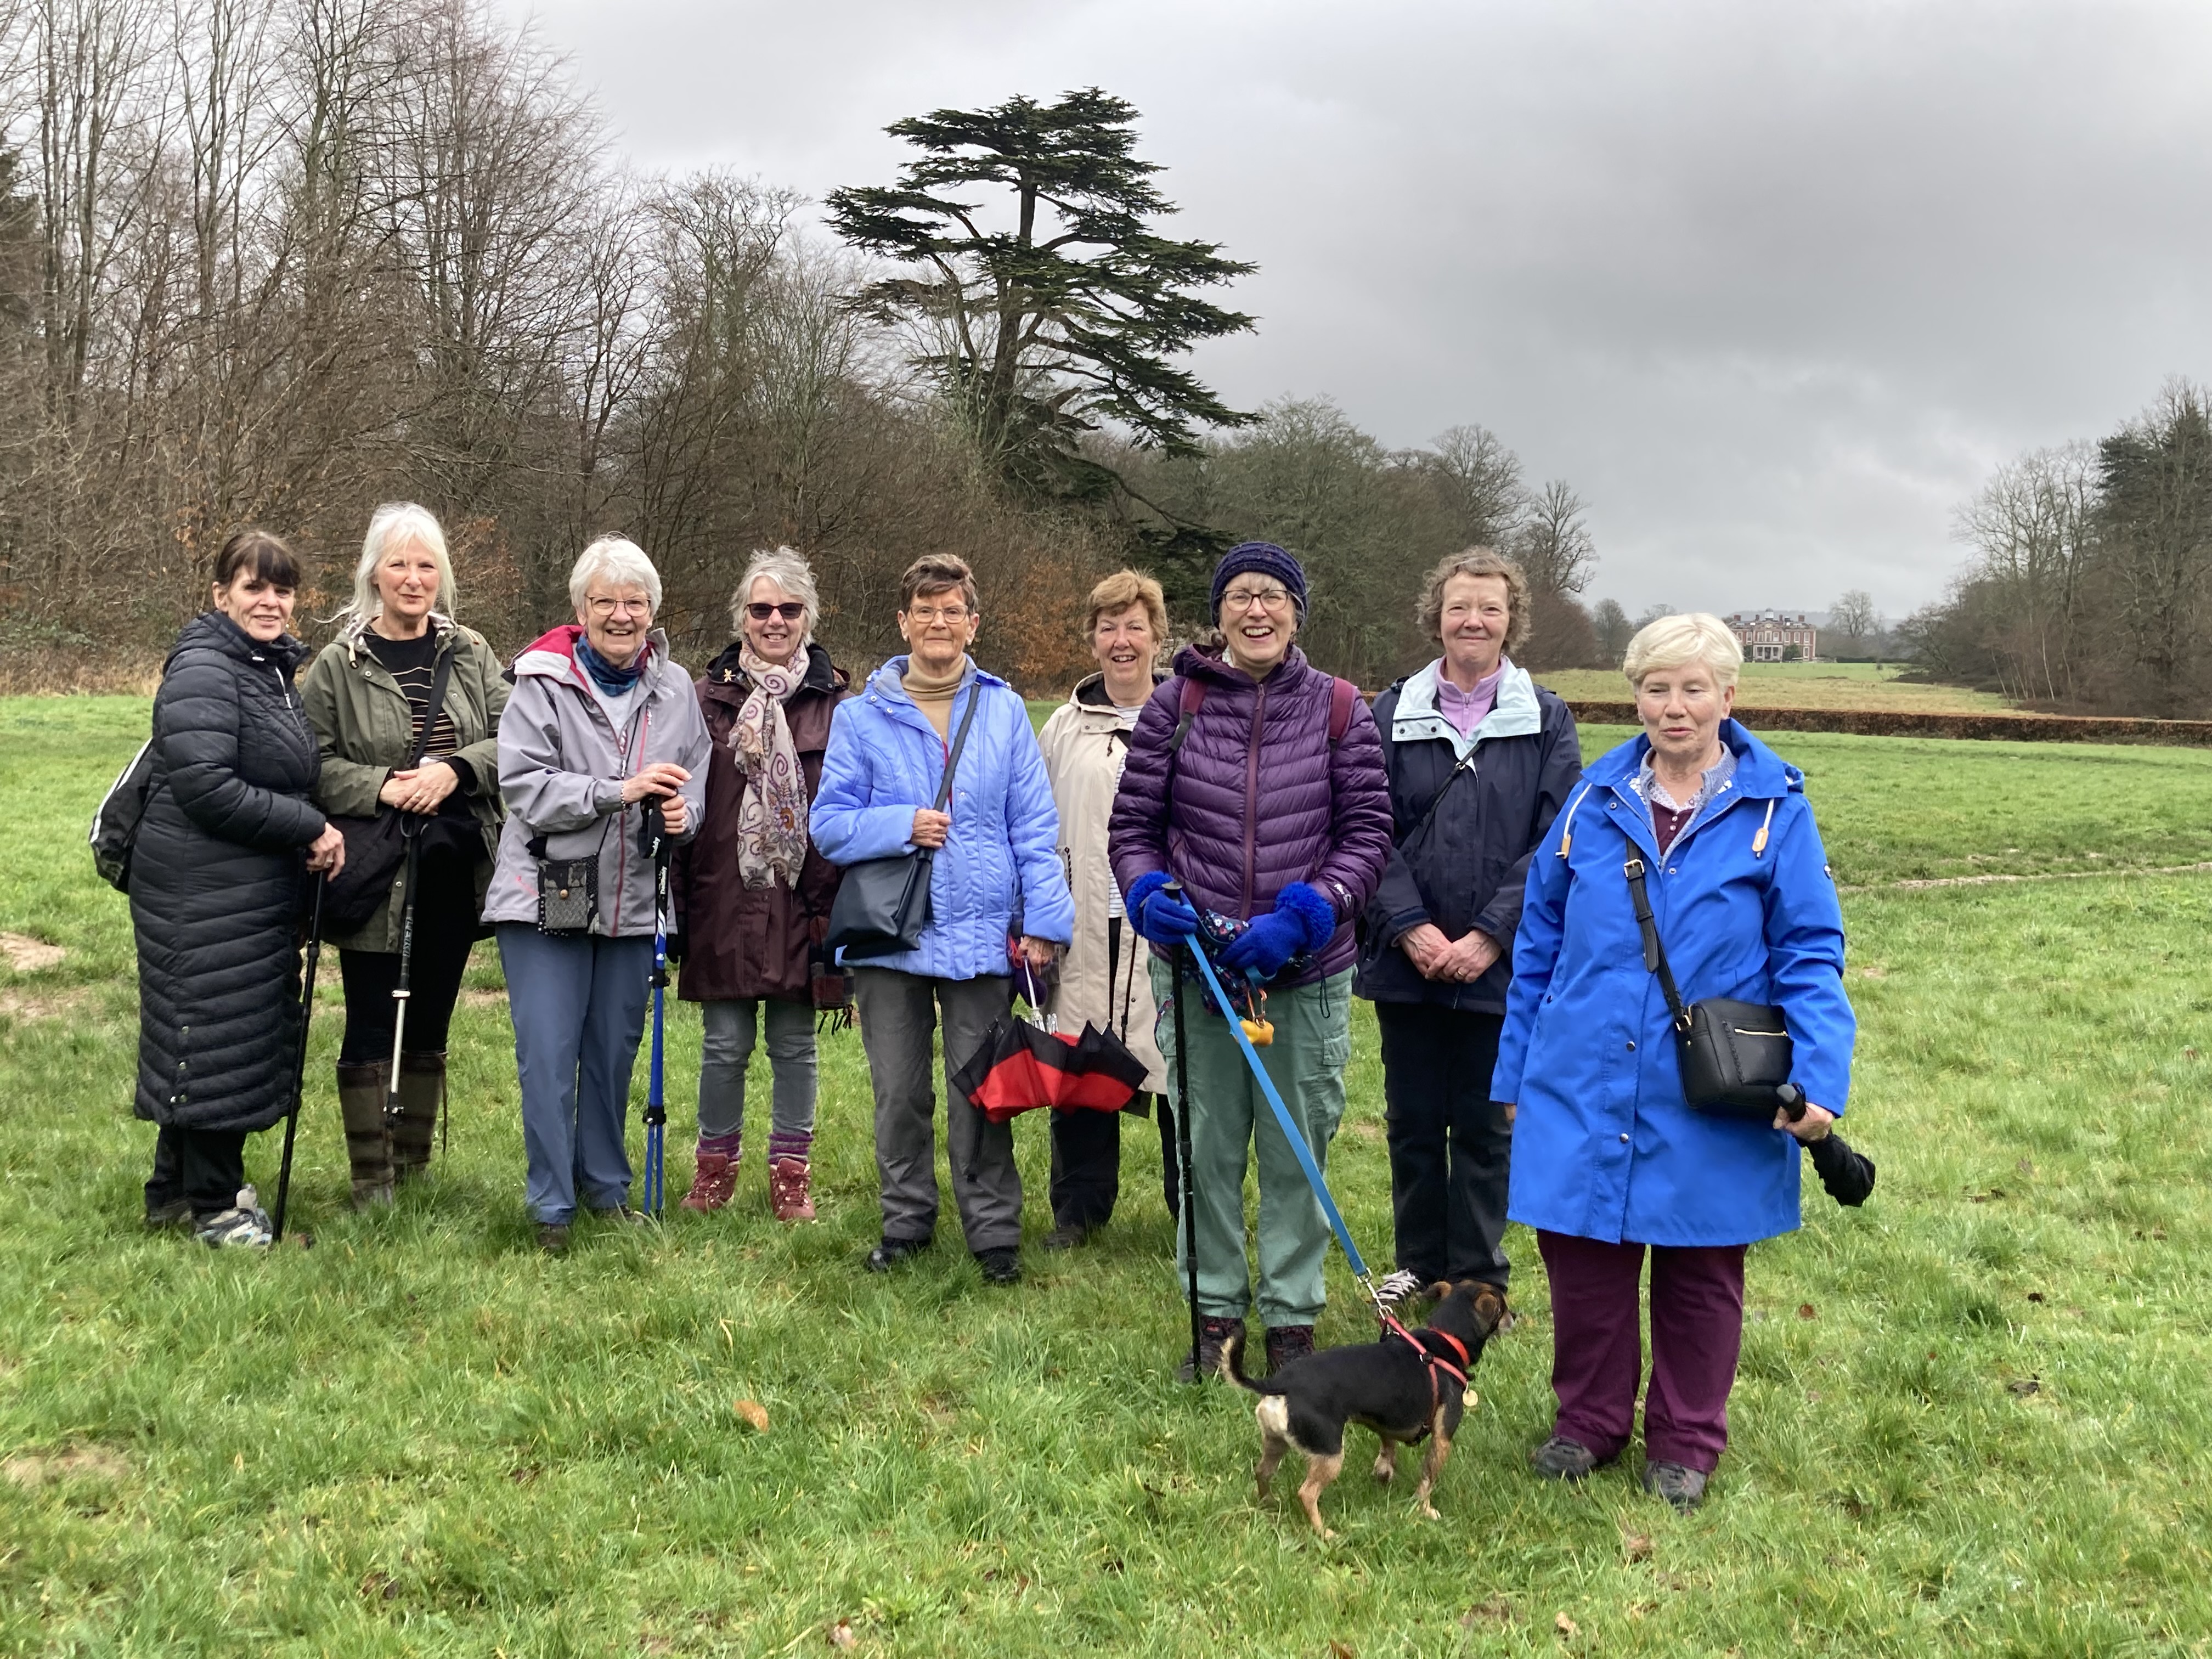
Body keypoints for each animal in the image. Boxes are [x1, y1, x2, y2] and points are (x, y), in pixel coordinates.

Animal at [1221, 1283, 1513, 1548]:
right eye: (1503, 1307)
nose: (1516, 1316)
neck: (1445, 1339)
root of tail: (1281, 1383)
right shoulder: (1442, 1438)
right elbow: (1427, 1479)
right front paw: (1426, 1511)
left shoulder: (1387, 1421)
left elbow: (1388, 1448)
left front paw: (1384, 1473)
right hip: (1330, 1454)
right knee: (1307, 1493)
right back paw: (1324, 1533)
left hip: (1276, 1442)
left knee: (1262, 1472)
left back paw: (1268, 1504)